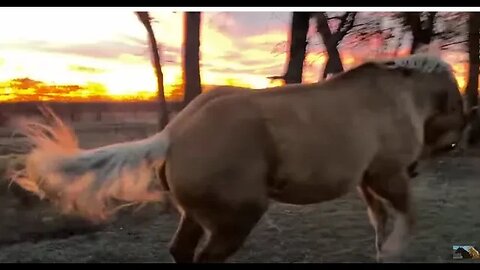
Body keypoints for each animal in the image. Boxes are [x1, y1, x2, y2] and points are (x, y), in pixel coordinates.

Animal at [10, 53, 472, 262]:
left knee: (181, 250)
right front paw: (394, 251)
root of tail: (174, 133)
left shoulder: (368, 180)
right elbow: (406, 218)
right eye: (453, 137)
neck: (401, 97)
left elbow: (380, 221)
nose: (418, 167)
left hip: (197, 216)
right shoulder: (388, 175)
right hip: (238, 218)